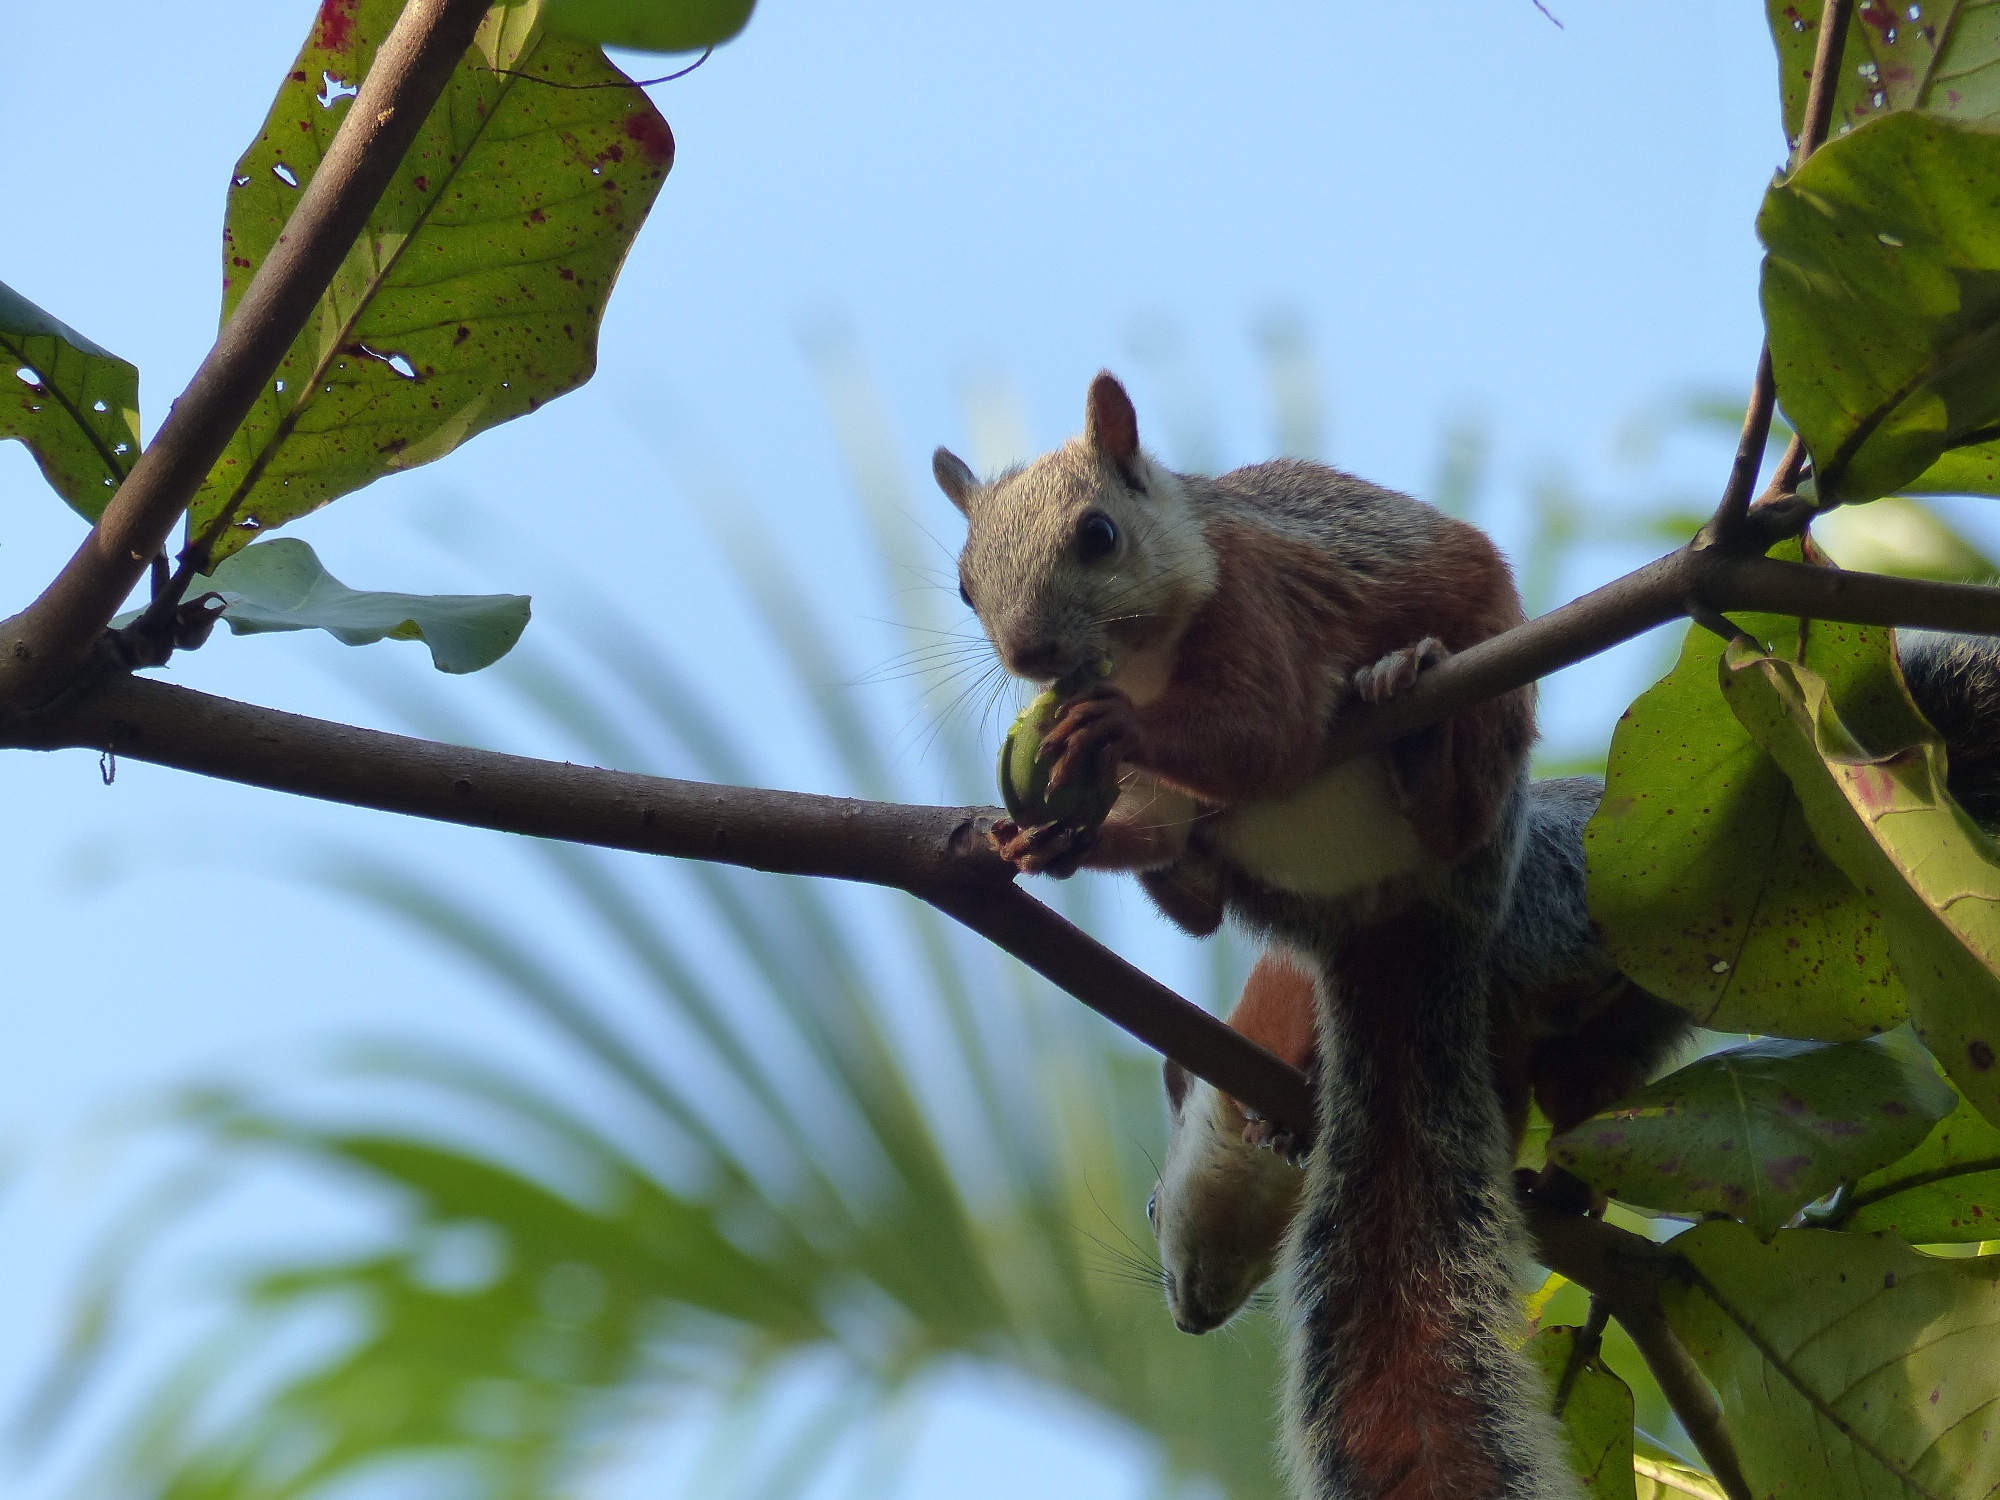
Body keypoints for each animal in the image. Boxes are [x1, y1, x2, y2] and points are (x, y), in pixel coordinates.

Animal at [939, 371, 1575, 1500]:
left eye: (1098, 535)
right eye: (965, 586)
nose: (1030, 657)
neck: (1143, 657)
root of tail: (1392, 916)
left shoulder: (1259, 601)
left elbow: (1264, 732)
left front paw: (1115, 732)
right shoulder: (1159, 796)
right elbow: (1156, 818)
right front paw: (1040, 838)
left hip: (1489, 723)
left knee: (1453, 792)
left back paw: (1413, 717)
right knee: (1196, 885)